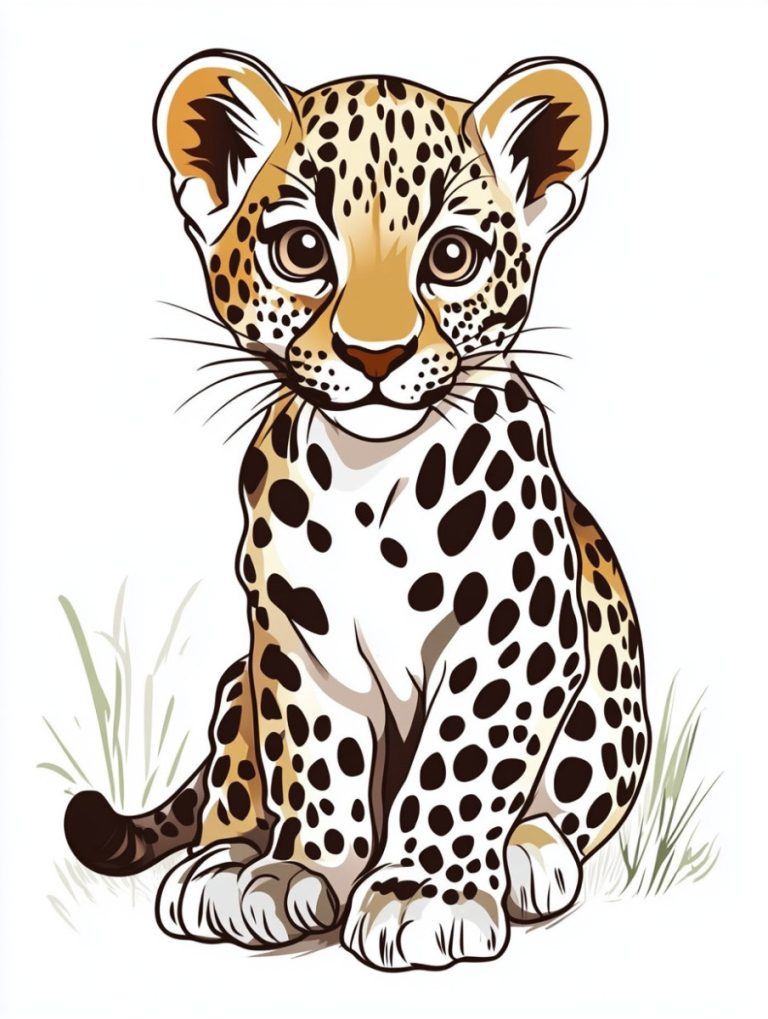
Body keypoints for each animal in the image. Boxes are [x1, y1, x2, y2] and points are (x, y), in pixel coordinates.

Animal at [63, 49, 651, 971]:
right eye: (303, 249)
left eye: (453, 256)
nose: (376, 356)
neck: (371, 481)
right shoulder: (297, 638)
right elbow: (317, 755)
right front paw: (296, 871)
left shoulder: (515, 632)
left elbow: (463, 759)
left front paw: (424, 892)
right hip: (236, 682)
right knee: (233, 785)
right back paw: (223, 865)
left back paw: (531, 853)